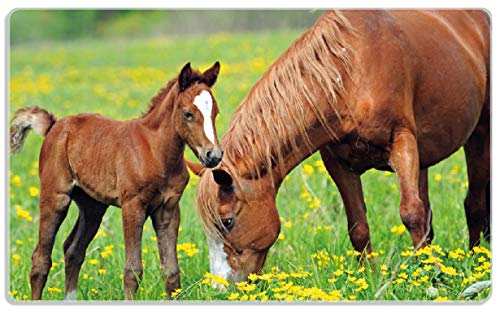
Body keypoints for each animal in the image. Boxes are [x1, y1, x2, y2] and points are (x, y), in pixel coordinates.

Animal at [8, 61, 224, 300]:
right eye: (187, 114)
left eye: (215, 112)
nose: (213, 155)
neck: (155, 151)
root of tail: (54, 127)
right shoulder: (132, 206)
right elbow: (132, 271)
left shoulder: (168, 210)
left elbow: (171, 273)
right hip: (56, 197)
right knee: (40, 260)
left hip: (93, 206)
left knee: (73, 250)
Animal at [189, 11, 490, 284]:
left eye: (227, 221)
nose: (220, 287)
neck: (350, 72)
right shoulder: (338, 163)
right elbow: (358, 226)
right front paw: (369, 279)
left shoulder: (402, 141)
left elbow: (411, 213)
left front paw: (433, 277)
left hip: (479, 134)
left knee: (473, 203)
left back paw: (475, 260)